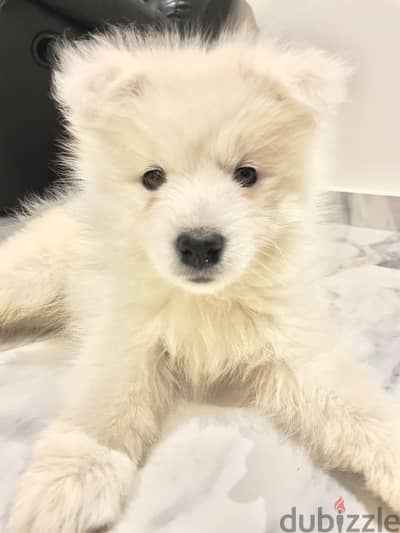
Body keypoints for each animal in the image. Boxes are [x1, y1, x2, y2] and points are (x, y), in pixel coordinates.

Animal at [2, 28, 400, 532]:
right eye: (153, 177)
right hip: (29, 276)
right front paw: (72, 479)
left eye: (246, 174)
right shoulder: (124, 331)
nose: (199, 244)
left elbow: (357, 406)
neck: (205, 300)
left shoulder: (292, 344)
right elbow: (103, 401)